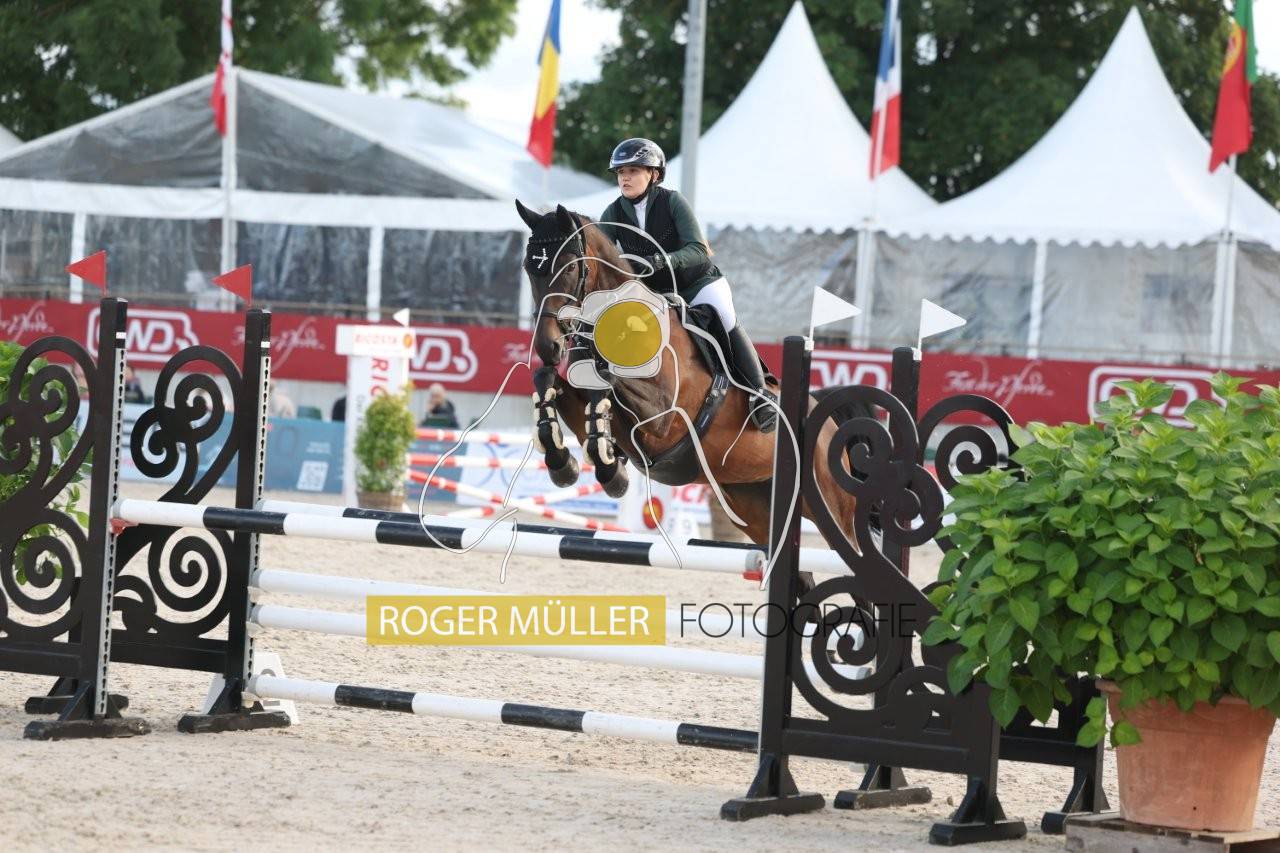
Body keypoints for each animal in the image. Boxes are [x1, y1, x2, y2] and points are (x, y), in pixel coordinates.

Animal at [514, 200, 858, 549]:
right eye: (529, 268)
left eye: (570, 268)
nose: (548, 346)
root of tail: (826, 419)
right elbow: (549, 381)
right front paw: (566, 463)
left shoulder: (664, 417)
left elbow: (608, 382)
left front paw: (608, 468)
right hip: (753, 505)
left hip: (832, 508)